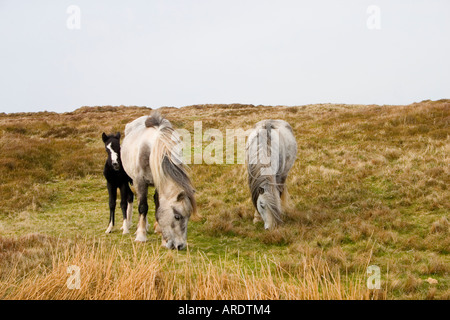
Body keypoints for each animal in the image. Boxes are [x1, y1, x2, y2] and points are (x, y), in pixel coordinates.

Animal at [120, 111, 196, 249]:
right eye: (177, 216)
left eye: (188, 217)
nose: (181, 246)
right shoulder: (140, 182)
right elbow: (143, 207)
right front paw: (141, 236)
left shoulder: (158, 182)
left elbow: (157, 204)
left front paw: (160, 231)